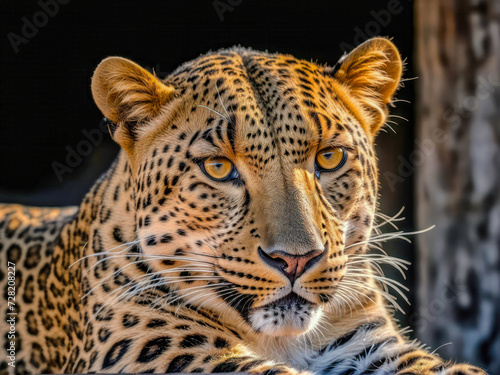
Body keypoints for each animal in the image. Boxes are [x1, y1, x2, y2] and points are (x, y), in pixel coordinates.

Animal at [0, 36, 486, 375]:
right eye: (218, 168)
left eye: (330, 158)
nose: (296, 260)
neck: (281, 340)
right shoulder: (143, 351)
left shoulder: (369, 344)